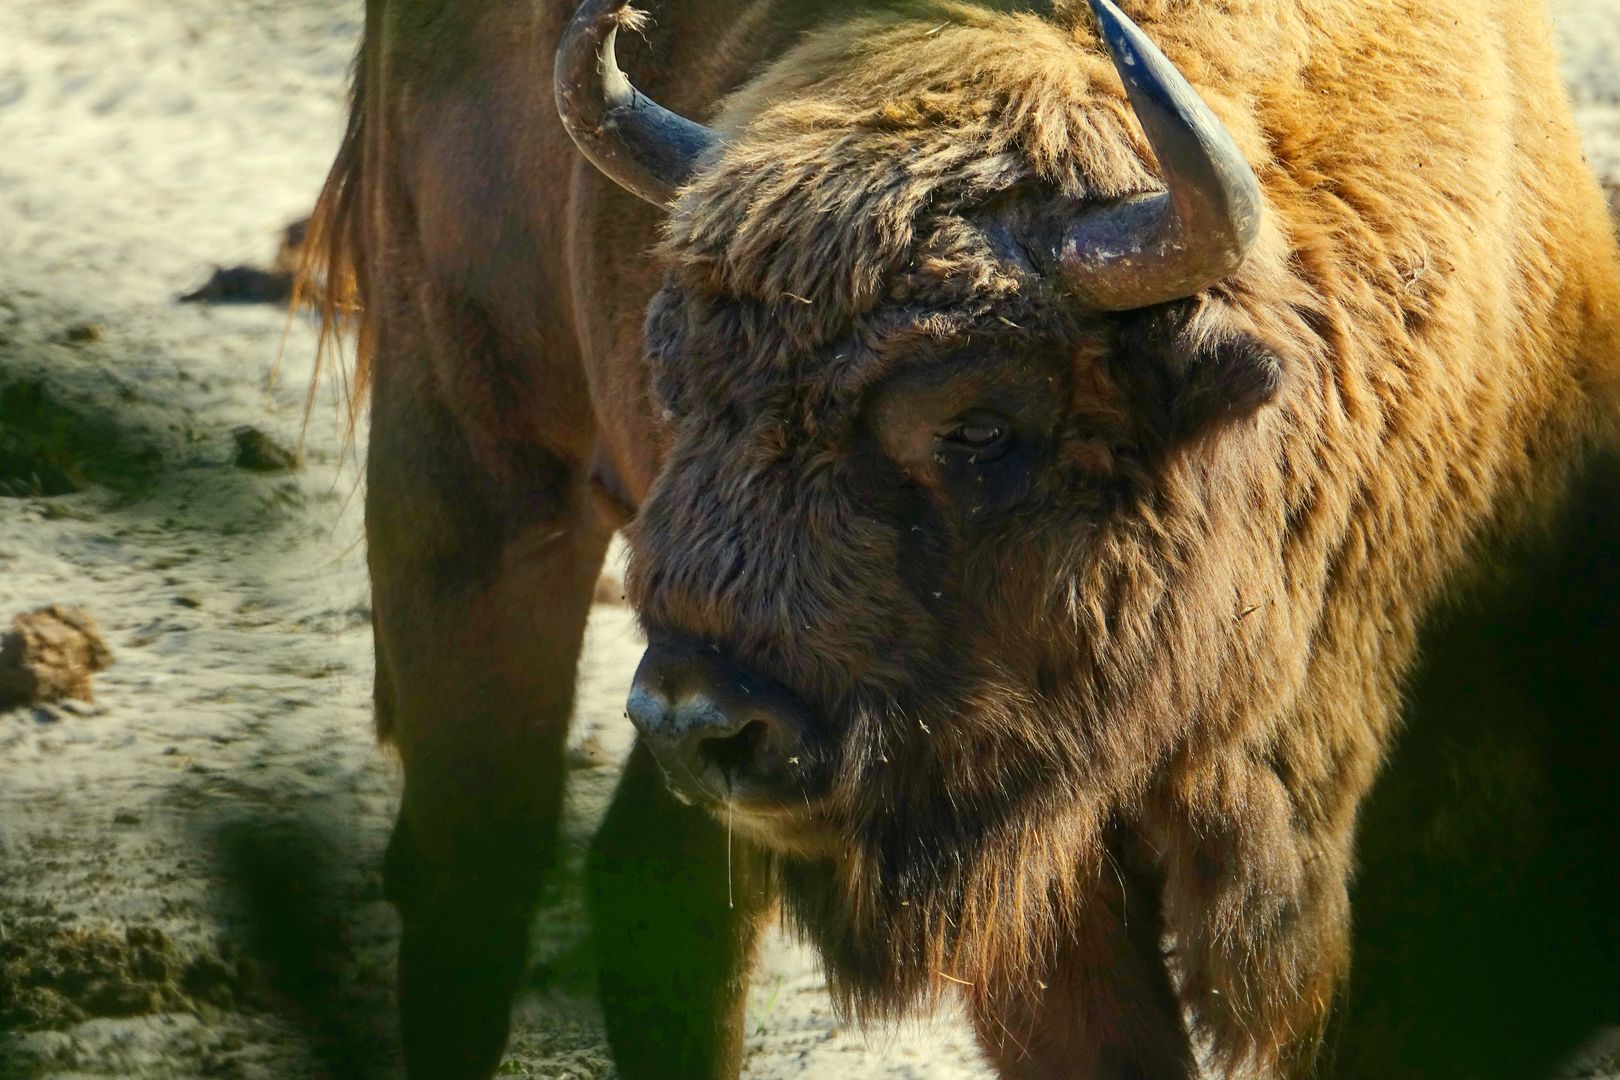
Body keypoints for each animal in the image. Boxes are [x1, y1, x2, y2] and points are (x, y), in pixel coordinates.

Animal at [301, 0, 1620, 1075]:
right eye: (677, 382)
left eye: (979, 424)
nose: (701, 718)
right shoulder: (1043, 880)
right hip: (473, 471)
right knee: (477, 854)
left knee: (661, 898)